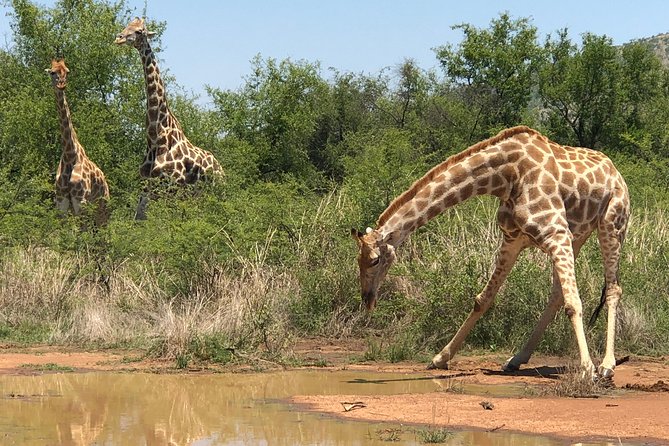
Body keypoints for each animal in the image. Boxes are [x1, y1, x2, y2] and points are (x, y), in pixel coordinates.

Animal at [46, 58, 108, 219]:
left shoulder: (81, 201)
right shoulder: (62, 203)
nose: (61, 84)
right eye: (52, 72)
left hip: (103, 207)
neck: (70, 155)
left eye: (67, 71)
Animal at [113, 17, 220, 218]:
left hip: (211, 191)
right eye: (126, 25)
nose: (119, 38)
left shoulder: (171, 189)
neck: (156, 138)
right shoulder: (147, 188)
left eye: (139, 31)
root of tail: (220, 168)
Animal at [352, 127, 628, 378]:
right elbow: (483, 299)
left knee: (612, 289)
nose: (367, 299)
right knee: (557, 294)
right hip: (578, 235)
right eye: (359, 260)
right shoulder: (513, 240)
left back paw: (606, 365)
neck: (507, 176)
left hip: (612, 225)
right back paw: (517, 359)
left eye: (375, 260)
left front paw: (587, 370)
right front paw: (440, 358)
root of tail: (616, 172)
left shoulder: (556, 233)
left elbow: (574, 303)